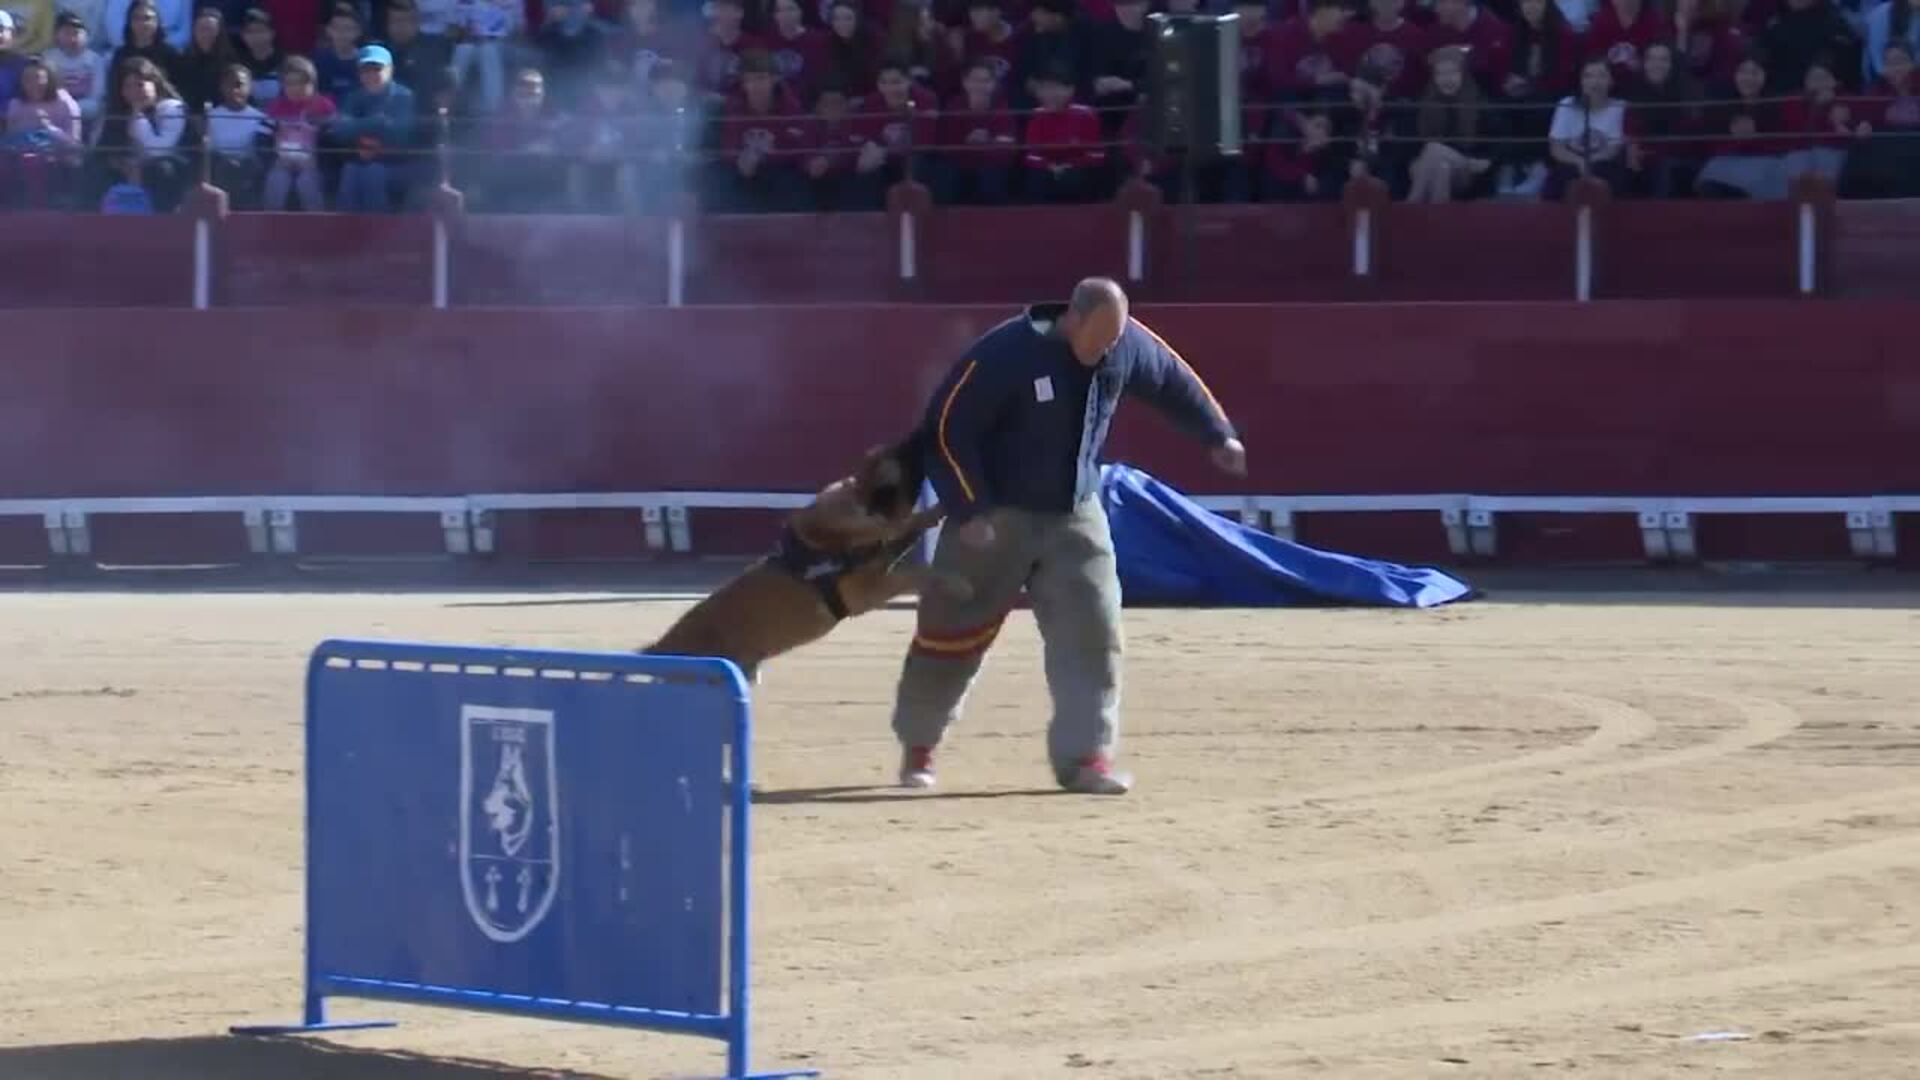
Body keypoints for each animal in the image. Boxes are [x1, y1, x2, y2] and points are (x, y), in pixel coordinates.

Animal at [641, 430, 967, 676]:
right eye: (902, 453)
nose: (920, 435)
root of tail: (660, 648)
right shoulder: (870, 587)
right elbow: (916, 567)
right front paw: (953, 581)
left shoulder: (883, 559)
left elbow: (910, 529)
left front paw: (938, 510)